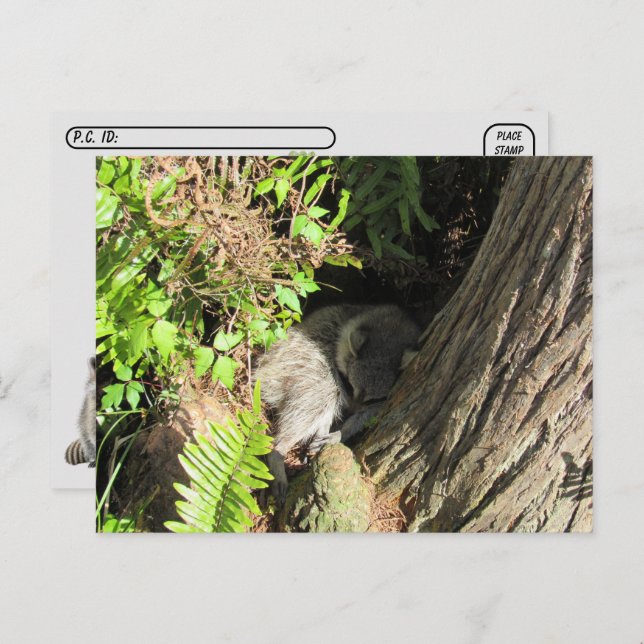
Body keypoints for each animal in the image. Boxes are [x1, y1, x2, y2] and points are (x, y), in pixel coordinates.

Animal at [256, 304, 420, 502]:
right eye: (349, 384)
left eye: (371, 398)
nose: (349, 411)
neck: (393, 326)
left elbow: (372, 412)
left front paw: (342, 431)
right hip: (295, 362)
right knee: (321, 394)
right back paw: (278, 449)